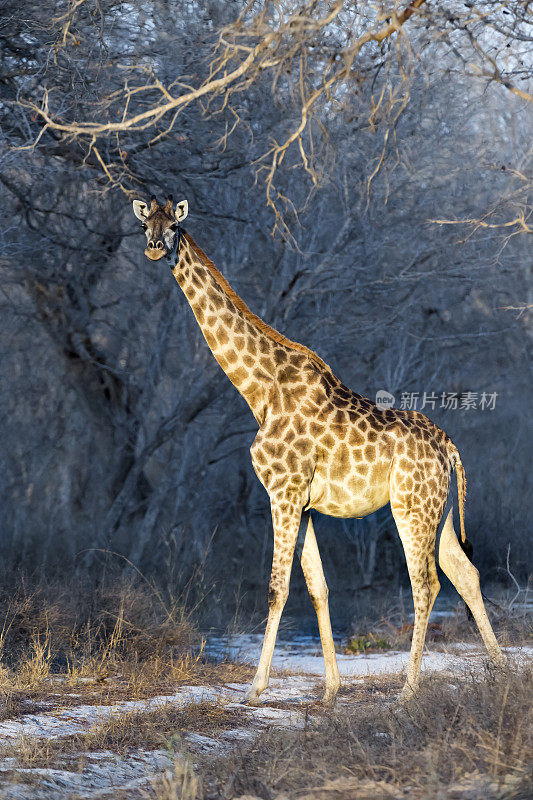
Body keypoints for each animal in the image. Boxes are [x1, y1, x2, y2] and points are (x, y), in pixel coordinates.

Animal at [131, 197, 500, 704]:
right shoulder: (303, 502)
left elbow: (277, 589)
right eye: (144, 223)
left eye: (173, 226)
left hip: (411, 506)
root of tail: (449, 446)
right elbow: (318, 587)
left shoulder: (282, 492)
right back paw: (503, 673)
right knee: (466, 573)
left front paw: (256, 688)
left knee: (425, 583)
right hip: (438, 511)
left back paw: (407, 692)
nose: (153, 247)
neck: (260, 390)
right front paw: (330, 690)